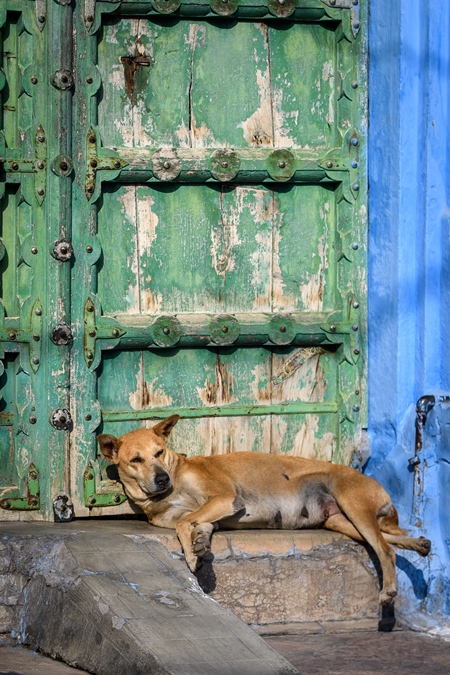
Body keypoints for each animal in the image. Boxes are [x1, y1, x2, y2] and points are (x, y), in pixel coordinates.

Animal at [97, 414, 428, 604]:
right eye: (136, 460)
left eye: (159, 452)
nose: (162, 478)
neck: (171, 487)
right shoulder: (209, 514)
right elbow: (193, 524)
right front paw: (198, 546)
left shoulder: (225, 499)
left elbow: (186, 521)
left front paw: (192, 553)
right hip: (342, 521)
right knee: (390, 538)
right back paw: (419, 543)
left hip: (353, 504)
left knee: (385, 549)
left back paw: (389, 589)